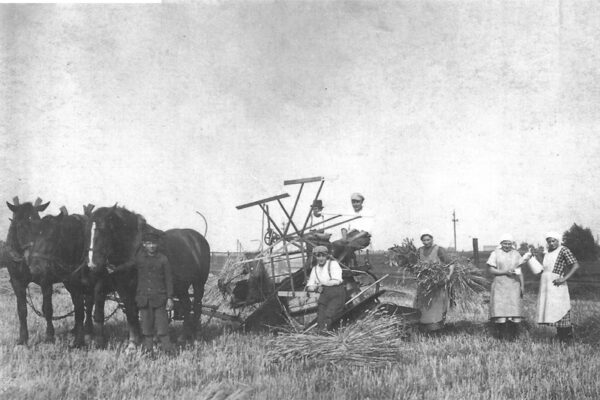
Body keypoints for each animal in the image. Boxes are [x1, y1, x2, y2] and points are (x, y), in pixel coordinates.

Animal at [84, 205, 211, 346]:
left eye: (104, 231)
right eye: (88, 232)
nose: (92, 264)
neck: (134, 248)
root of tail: (198, 238)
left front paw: (138, 341)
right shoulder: (123, 288)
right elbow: (131, 313)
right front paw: (135, 340)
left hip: (199, 284)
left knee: (197, 306)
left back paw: (197, 336)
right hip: (181, 286)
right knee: (187, 305)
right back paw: (183, 336)